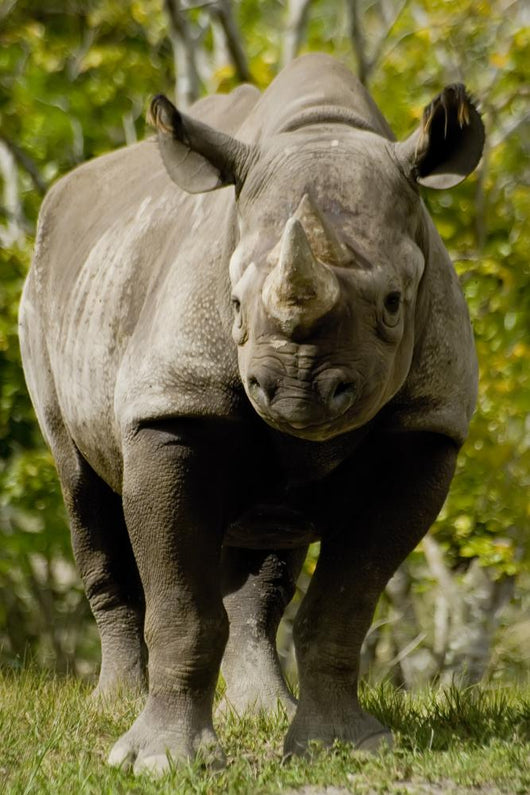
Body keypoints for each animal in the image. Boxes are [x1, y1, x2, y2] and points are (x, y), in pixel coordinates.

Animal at [19, 53, 484, 773]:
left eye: (392, 304)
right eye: (234, 304)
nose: (295, 390)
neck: (323, 129)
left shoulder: (428, 427)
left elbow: (345, 604)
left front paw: (346, 747)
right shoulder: (173, 404)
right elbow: (183, 607)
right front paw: (159, 762)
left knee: (267, 538)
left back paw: (262, 711)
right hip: (46, 296)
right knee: (80, 483)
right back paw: (111, 708)